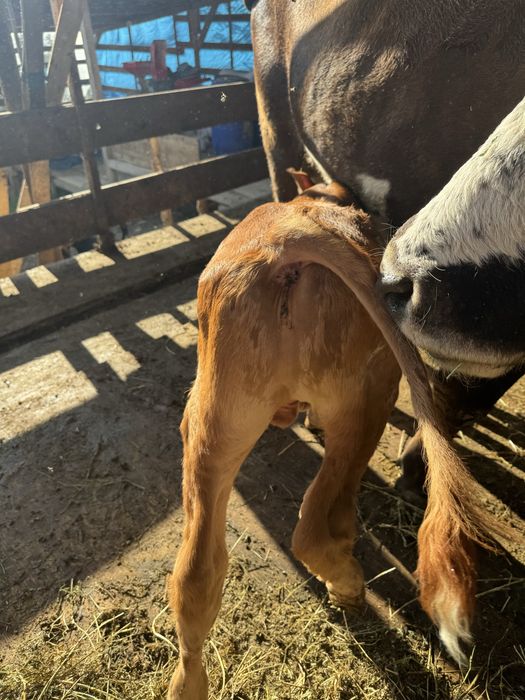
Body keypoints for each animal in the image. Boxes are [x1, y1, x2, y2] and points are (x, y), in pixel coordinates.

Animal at [167, 180, 503, 700]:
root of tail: (287, 236)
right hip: (365, 393)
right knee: (315, 523)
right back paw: (347, 585)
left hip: (214, 420)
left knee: (195, 575)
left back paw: (187, 683)